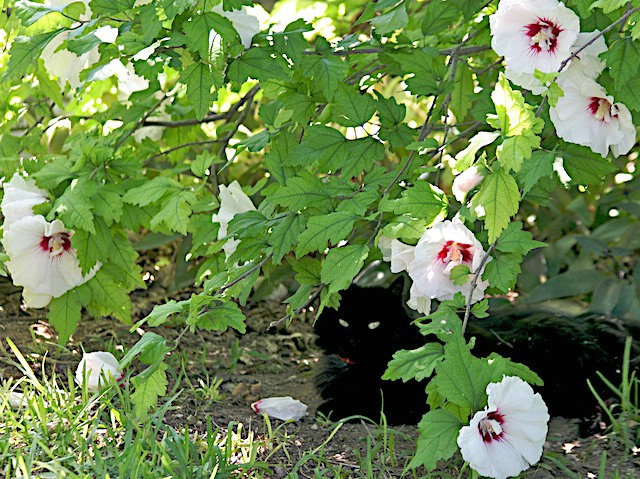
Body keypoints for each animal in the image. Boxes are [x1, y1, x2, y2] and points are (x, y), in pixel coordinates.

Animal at [316, 284, 640, 426]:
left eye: (374, 324)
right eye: (343, 322)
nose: (354, 341)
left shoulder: (409, 404)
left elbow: (366, 405)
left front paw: (331, 408)